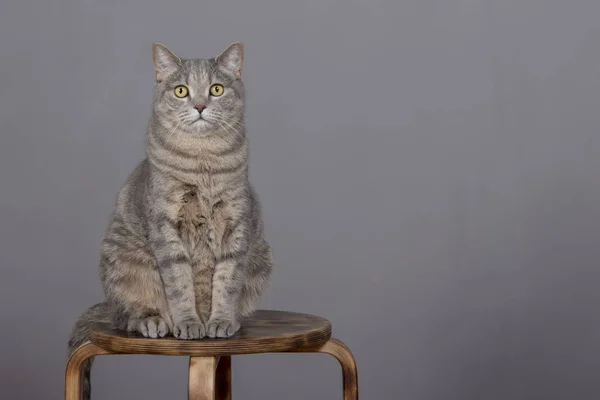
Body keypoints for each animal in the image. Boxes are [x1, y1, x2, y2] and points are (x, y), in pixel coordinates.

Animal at [67, 42, 272, 398]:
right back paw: (153, 321)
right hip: (122, 261)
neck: (203, 163)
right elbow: (179, 284)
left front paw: (219, 320)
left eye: (216, 89)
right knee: (127, 314)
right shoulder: (166, 228)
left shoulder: (237, 224)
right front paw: (189, 322)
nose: (200, 105)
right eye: (181, 91)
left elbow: (227, 280)